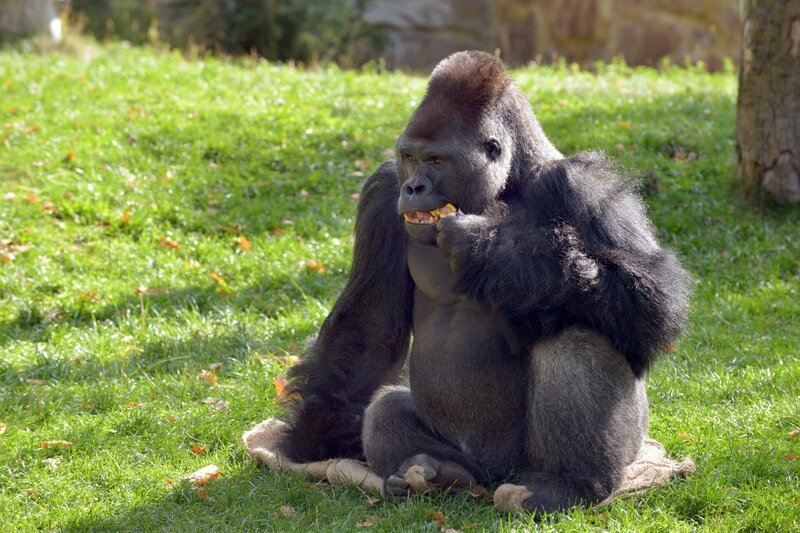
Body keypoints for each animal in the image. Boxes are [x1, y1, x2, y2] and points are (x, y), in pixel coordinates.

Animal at [278, 51, 692, 512]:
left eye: (437, 160)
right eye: (409, 156)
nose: (414, 186)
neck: (511, 180)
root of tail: (495, 476)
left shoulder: (586, 184)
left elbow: (655, 302)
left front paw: (493, 250)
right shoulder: (384, 194)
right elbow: (370, 328)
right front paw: (318, 435)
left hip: (583, 453)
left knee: (580, 334)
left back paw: (571, 484)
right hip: (475, 463)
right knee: (385, 412)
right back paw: (442, 473)